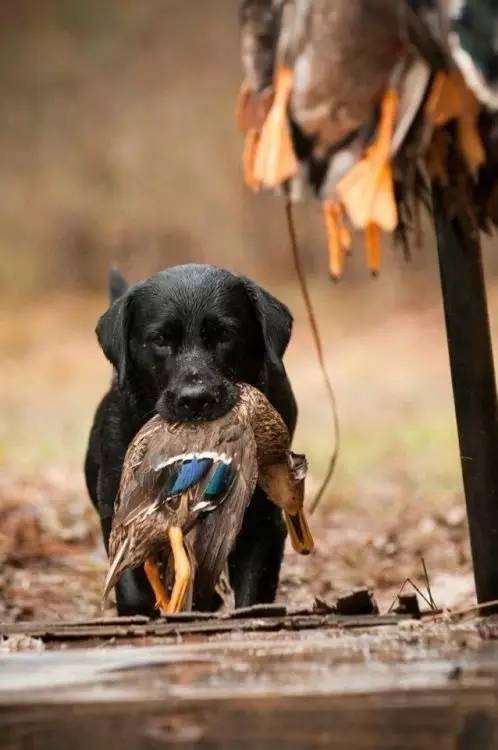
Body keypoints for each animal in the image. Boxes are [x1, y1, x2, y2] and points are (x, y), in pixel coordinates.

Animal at [85, 264, 296, 616]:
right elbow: (132, 585)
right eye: (160, 339)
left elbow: (252, 592)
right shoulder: (118, 512)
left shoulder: (262, 521)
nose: (195, 399)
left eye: (224, 334)